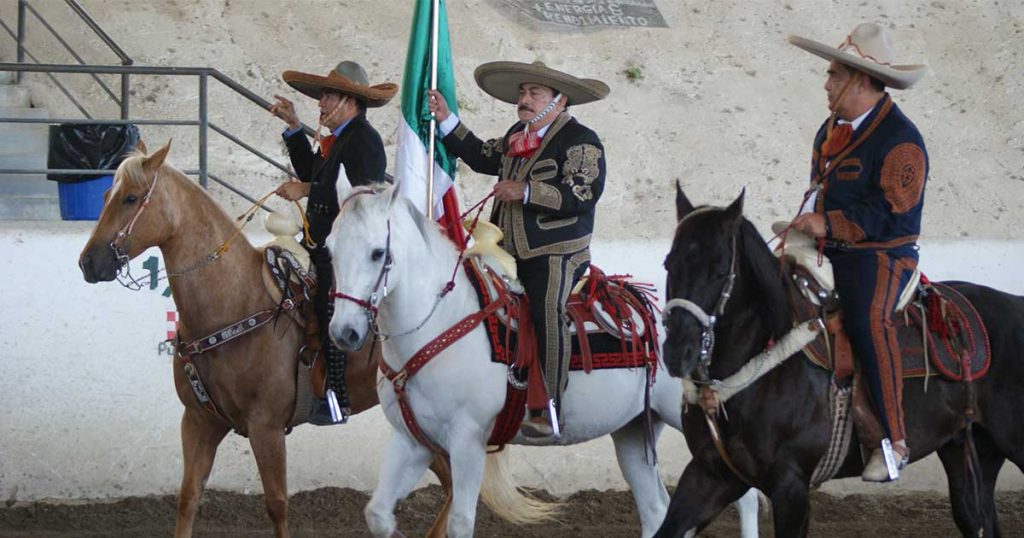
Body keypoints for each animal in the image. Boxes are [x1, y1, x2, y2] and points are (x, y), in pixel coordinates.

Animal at [77, 141, 450, 536]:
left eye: (131, 198)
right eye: (106, 195)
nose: (88, 262)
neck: (235, 302)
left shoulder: (266, 427)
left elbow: (276, 503)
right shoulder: (199, 420)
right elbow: (188, 497)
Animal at [325, 181, 761, 536]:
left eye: (377, 252)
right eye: (329, 248)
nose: (344, 332)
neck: (439, 322)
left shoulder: (467, 439)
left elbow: (461, 522)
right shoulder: (411, 441)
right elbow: (378, 515)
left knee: (745, 497)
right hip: (635, 429)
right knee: (658, 511)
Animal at [655, 185, 1024, 536]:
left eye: (720, 272)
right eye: (668, 264)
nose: (677, 351)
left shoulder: (791, 486)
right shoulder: (711, 473)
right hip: (970, 451)